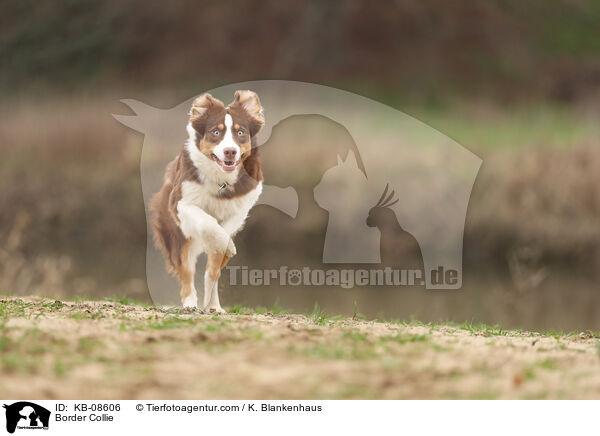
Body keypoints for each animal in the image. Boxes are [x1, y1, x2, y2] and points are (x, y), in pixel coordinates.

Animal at [149, 90, 264, 312]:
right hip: (176, 236)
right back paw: (190, 303)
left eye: (240, 133)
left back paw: (214, 306)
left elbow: (221, 241)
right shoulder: (180, 203)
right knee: (186, 271)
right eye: (216, 132)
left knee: (212, 272)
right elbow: (206, 222)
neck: (221, 179)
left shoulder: (243, 204)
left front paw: (226, 245)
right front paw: (225, 244)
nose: (230, 151)